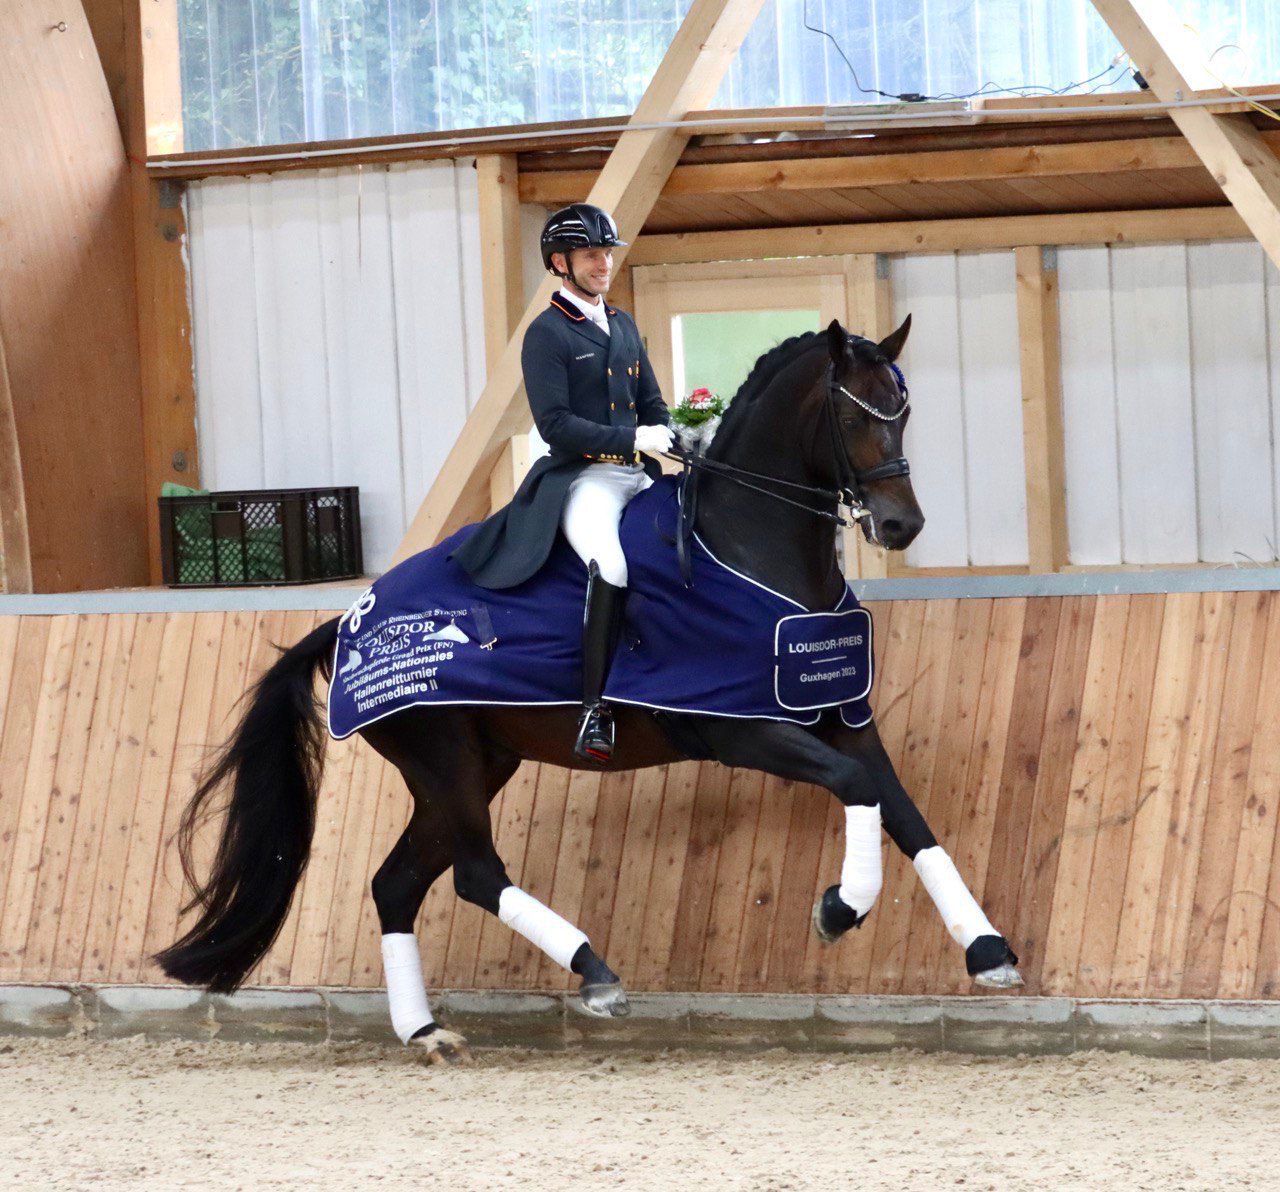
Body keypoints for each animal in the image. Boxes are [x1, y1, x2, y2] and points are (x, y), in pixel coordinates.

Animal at [160, 317, 1018, 1065]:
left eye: (902, 411)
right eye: (848, 412)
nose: (900, 525)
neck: (750, 551)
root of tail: (349, 618)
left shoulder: (842, 714)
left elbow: (905, 813)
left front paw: (988, 951)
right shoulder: (741, 729)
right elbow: (854, 789)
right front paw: (841, 908)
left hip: (473, 766)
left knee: (397, 884)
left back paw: (427, 1033)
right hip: (443, 759)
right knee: (476, 875)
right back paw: (596, 974)